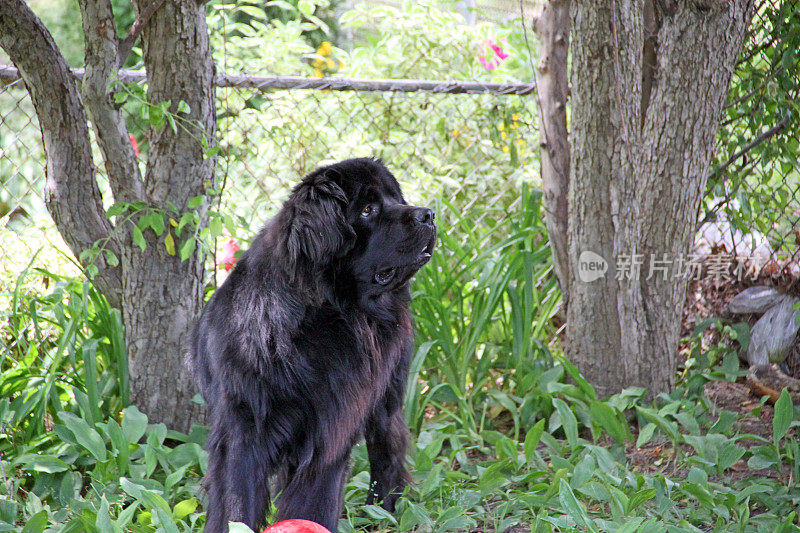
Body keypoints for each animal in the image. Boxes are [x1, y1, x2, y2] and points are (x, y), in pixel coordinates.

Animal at [188, 159, 438, 532]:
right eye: (368, 210)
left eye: (396, 199)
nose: (428, 214)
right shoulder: (244, 427)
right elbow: (237, 501)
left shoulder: (331, 426)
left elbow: (316, 499)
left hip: (387, 394)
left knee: (388, 448)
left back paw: (383, 510)